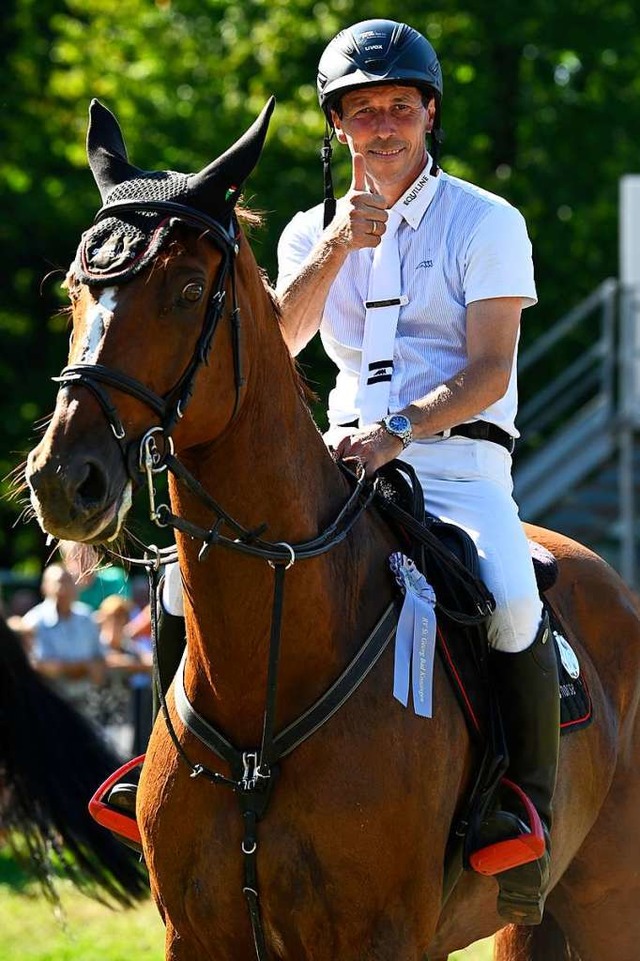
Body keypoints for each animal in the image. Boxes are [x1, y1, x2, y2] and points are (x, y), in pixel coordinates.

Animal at [23, 99, 640, 960]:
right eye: (76, 291)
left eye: (188, 288)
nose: (63, 479)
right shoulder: (196, 933)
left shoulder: (378, 935)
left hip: (608, 899)